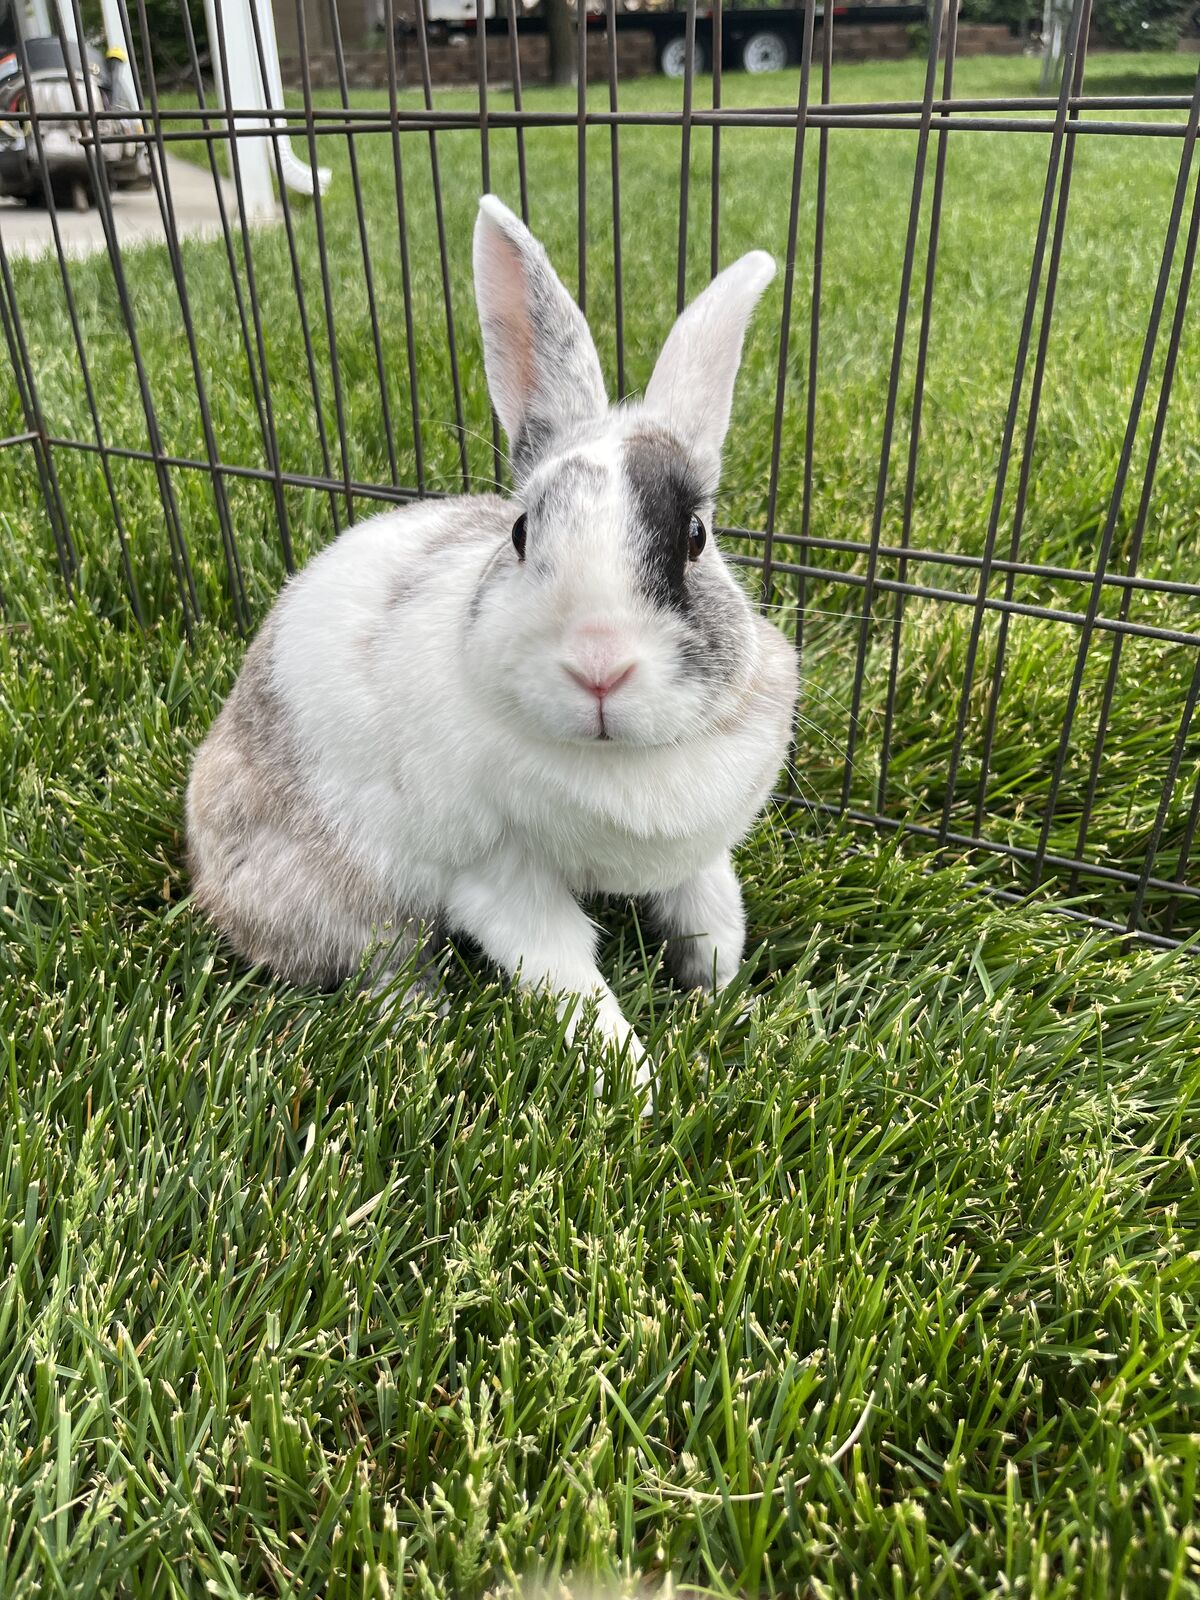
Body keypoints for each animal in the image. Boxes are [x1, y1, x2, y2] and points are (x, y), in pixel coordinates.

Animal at [186, 194, 798, 1087]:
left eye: (695, 537)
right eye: (519, 532)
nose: (599, 666)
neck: (614, 763)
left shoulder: (699, 852)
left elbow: (712, 909)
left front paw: (721, 996)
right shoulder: (496, 877)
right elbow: (566, 971)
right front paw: (635, 1080)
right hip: (353, 900)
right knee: (383, 965)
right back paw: (420, 1025)